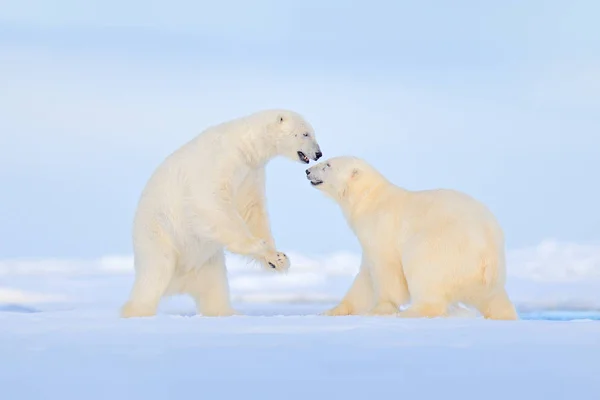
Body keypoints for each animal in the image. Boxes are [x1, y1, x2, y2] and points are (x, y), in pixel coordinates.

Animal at [119, 108, 322, 318]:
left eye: (311, 132)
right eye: (305, 133)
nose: (318, 153)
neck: (244, 145)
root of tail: (179, 283)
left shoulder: (250, 173)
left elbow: (251, 210)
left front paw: (278, 259)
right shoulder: (220, 162)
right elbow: (211, 201)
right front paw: (259, 245)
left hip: (209, 263)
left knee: (215, 289)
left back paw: (229, 312)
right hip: (158, 237)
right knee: (154, 276)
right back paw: (138, 311)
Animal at [308, 157, 516, 322]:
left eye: (328, 165)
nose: (308, 171)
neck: (368, 199)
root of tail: (487, 252)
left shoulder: (381, 228)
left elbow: (386, 270)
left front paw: (380, 309)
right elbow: (365, 278)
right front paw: (331, 311)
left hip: (441, 247)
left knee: (424, 272)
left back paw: (411, 312)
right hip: (489, 275)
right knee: (494, 298)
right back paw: (504, 315)